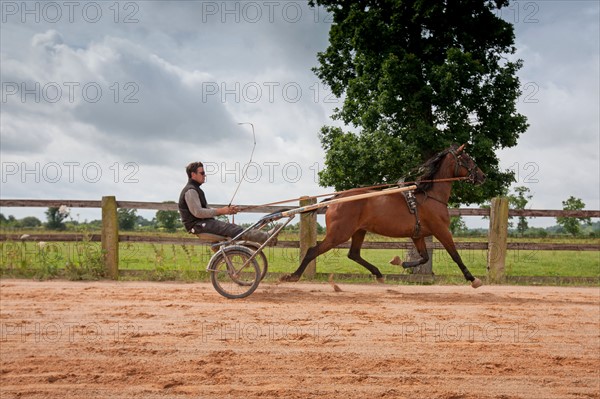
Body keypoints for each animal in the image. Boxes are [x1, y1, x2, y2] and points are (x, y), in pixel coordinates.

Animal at [282, 144, 488, 288]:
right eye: (468, 159)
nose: (483, 176)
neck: (429, 196)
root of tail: (337, 198)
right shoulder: (441, 230)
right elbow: (455, 255)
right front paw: (473, 279)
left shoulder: (418, 235)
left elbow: (424, 258)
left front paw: (400, 262)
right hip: (339, 234)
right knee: (312, 251)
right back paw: (293, 276)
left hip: (359, 231)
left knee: (353, 254)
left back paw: (379, 274)